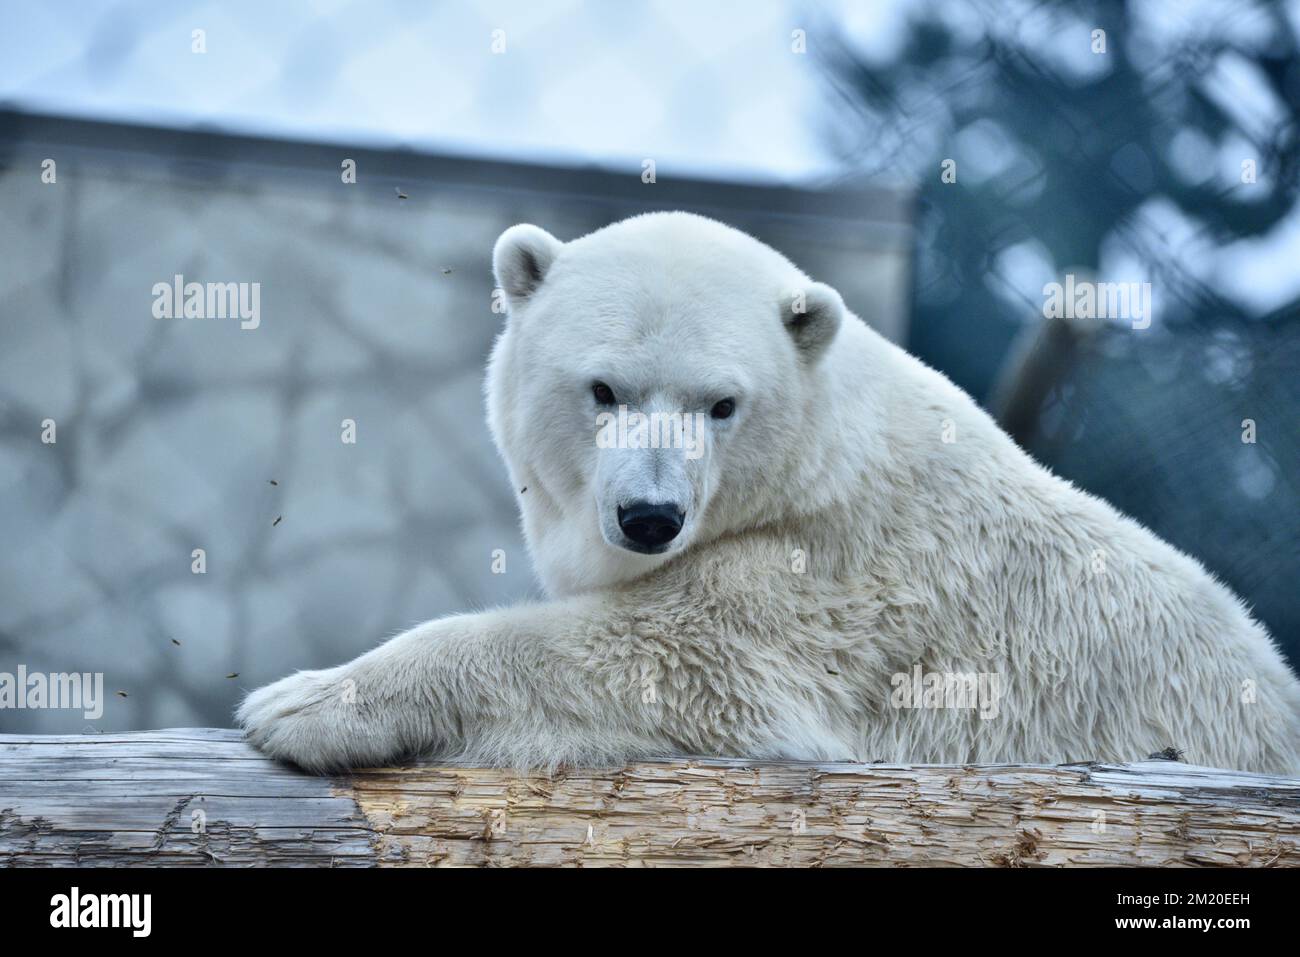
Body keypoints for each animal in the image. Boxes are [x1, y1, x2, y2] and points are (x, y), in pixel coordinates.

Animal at [238, 211, 1300, 776]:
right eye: (602, 388)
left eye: (721, 403)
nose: (650, 516)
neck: (822, 466)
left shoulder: (837, 586)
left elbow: (672, 659)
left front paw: (300, 703)